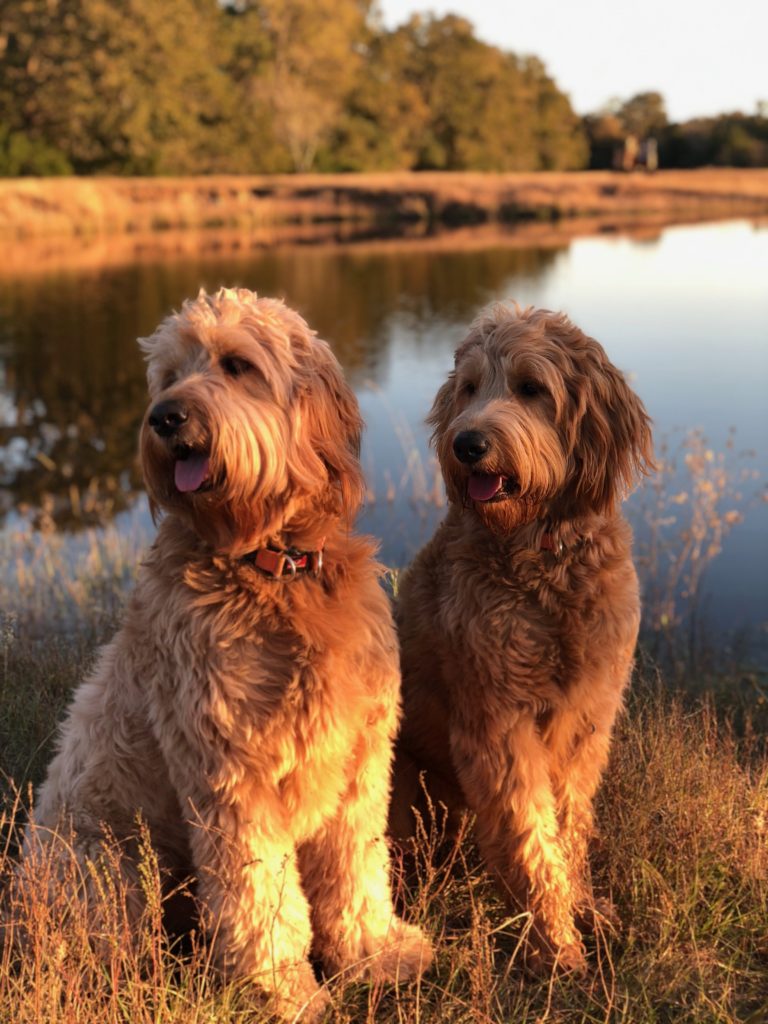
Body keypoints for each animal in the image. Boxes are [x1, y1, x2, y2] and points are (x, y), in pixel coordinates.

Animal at [19, 286, 434, 1015]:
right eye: (167, 375)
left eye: (237, 365)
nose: (164, 416)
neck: (274, 568)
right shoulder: (233, 774)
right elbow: (260, 897)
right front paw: (282, 991)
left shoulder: (359, 757)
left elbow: (357, 866)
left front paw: (374, 953)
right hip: (108, 870)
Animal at [393, 301, 651, 974]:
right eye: (469, 389)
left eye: (532, 388)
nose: (467, 444)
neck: (543, 557)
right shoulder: (499, 724)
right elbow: (529, 834)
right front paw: (555, 945)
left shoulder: (586, 721)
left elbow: (570, 823)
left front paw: (583, 907)